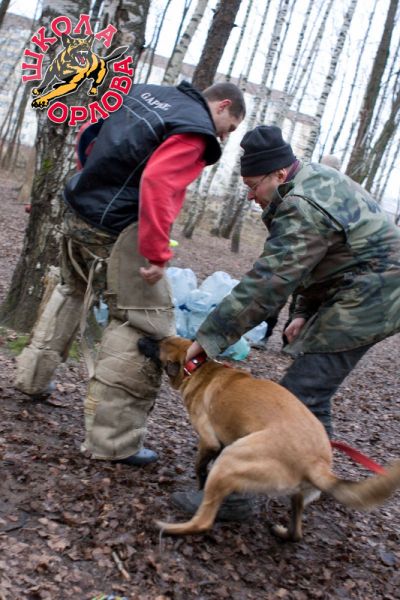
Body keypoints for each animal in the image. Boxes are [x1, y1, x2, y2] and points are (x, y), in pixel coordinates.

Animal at [138, 335, 400, 541]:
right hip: (292, 490)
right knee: (297, 533)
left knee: (203, 522)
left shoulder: (210, 441)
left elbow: (200, 466)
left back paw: (169, 527)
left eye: (157, 345)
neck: (198, 367)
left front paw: (199, 485)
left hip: (231, 459)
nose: (141, 337)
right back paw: (284, 533)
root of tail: (316, 463)